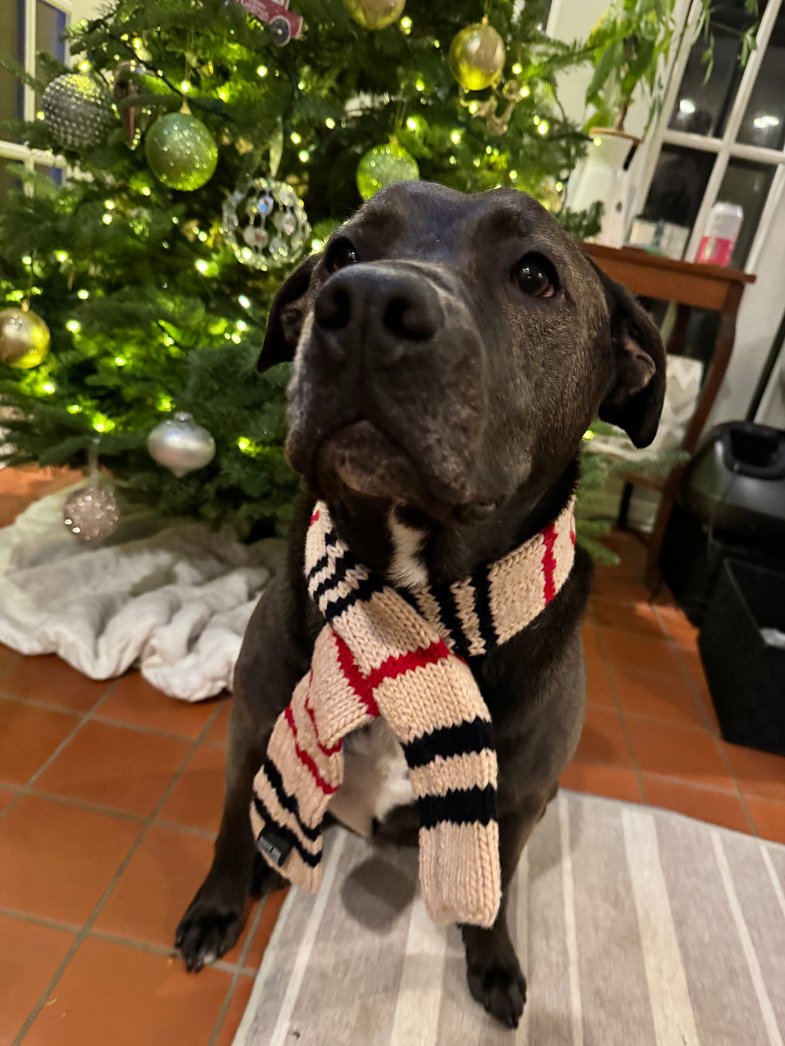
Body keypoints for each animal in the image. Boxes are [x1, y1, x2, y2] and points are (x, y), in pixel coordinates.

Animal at [176, 184, 665, 1025]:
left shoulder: (518, 799)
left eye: (534, 274)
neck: (410, 604)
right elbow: (235, 826)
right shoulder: (251, 730)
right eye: (342, 251)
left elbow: (497, 890)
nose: (368, 302)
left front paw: (492, 959)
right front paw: (218, 904)